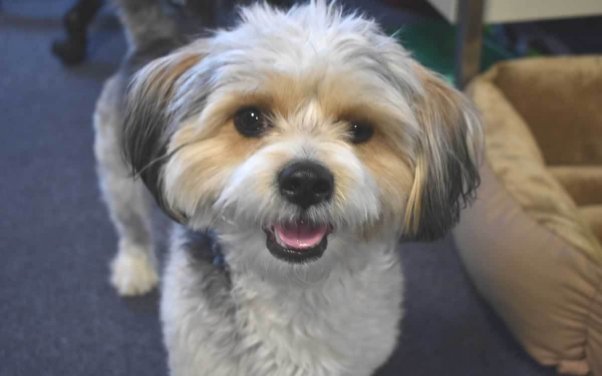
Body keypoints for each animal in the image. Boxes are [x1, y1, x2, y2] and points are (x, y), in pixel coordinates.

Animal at [94, 1, 482, 374]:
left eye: (360, 129)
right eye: (249, 119)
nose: (306, 181)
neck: (295, 288)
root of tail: (158, 34)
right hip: (118, 175)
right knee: (130, 225)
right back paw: (134, 267)